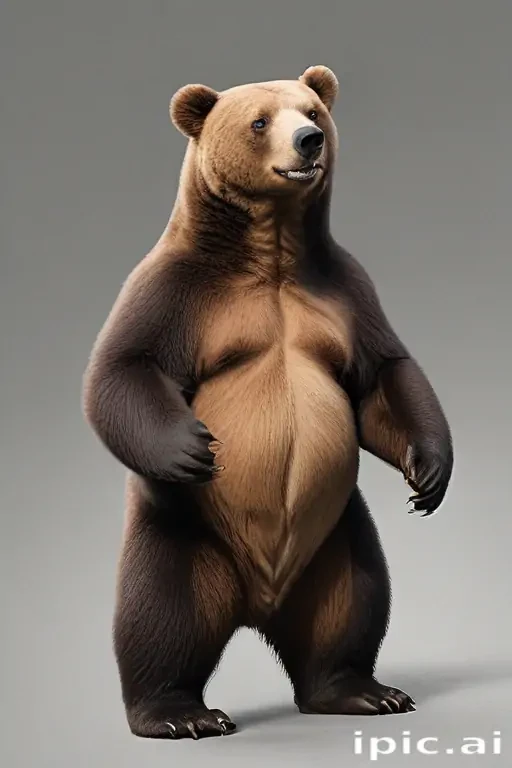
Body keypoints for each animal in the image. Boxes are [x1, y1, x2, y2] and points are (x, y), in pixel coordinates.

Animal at [82, 65, 453, 740]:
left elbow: (384, 376)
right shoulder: (177, 290)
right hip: (185, 534)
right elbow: (122, 368)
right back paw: (179, 713)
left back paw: (361, 690)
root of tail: (262, 602)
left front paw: (429, 472)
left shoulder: (342, 290)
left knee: (355, 603)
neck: (272, 251)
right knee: (161, 614)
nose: (309, 141)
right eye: (259, 120)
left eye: (312, 110)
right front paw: (192, 448)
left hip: (335, 538)